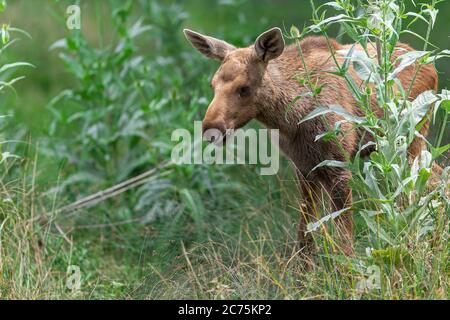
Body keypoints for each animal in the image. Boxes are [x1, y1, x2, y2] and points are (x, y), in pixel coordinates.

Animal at [184, 27, 440, 258]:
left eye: (244, 88)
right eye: (212, 85)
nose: (211, 128)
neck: (291, 120)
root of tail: (432, 67)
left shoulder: (340, 163)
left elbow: (344, 239)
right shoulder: (304, 166)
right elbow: (305, 233)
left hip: (411, 140)